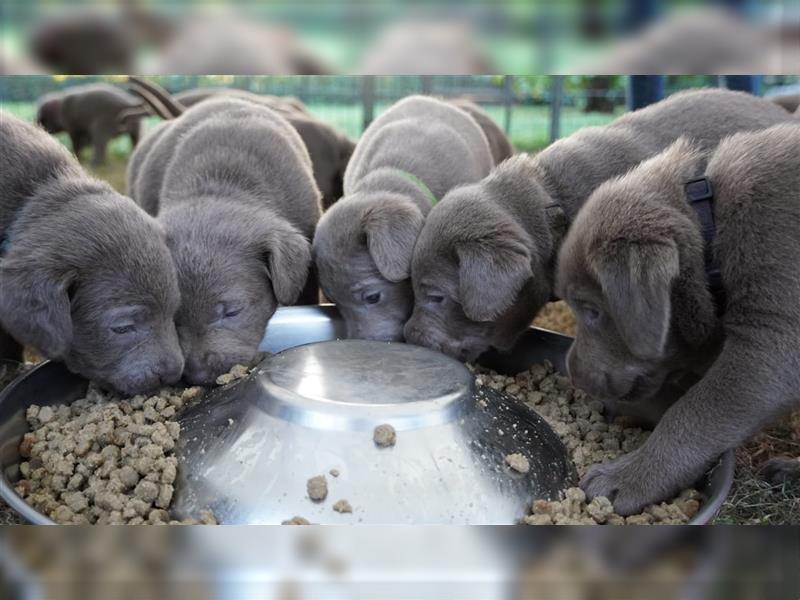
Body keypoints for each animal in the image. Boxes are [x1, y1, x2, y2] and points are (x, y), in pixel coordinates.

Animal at [556, 124, 800, 512]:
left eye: (592, 310)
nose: (573, 374)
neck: (713, 235)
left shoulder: (773, 341)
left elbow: (693, 411)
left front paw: (626, 478)